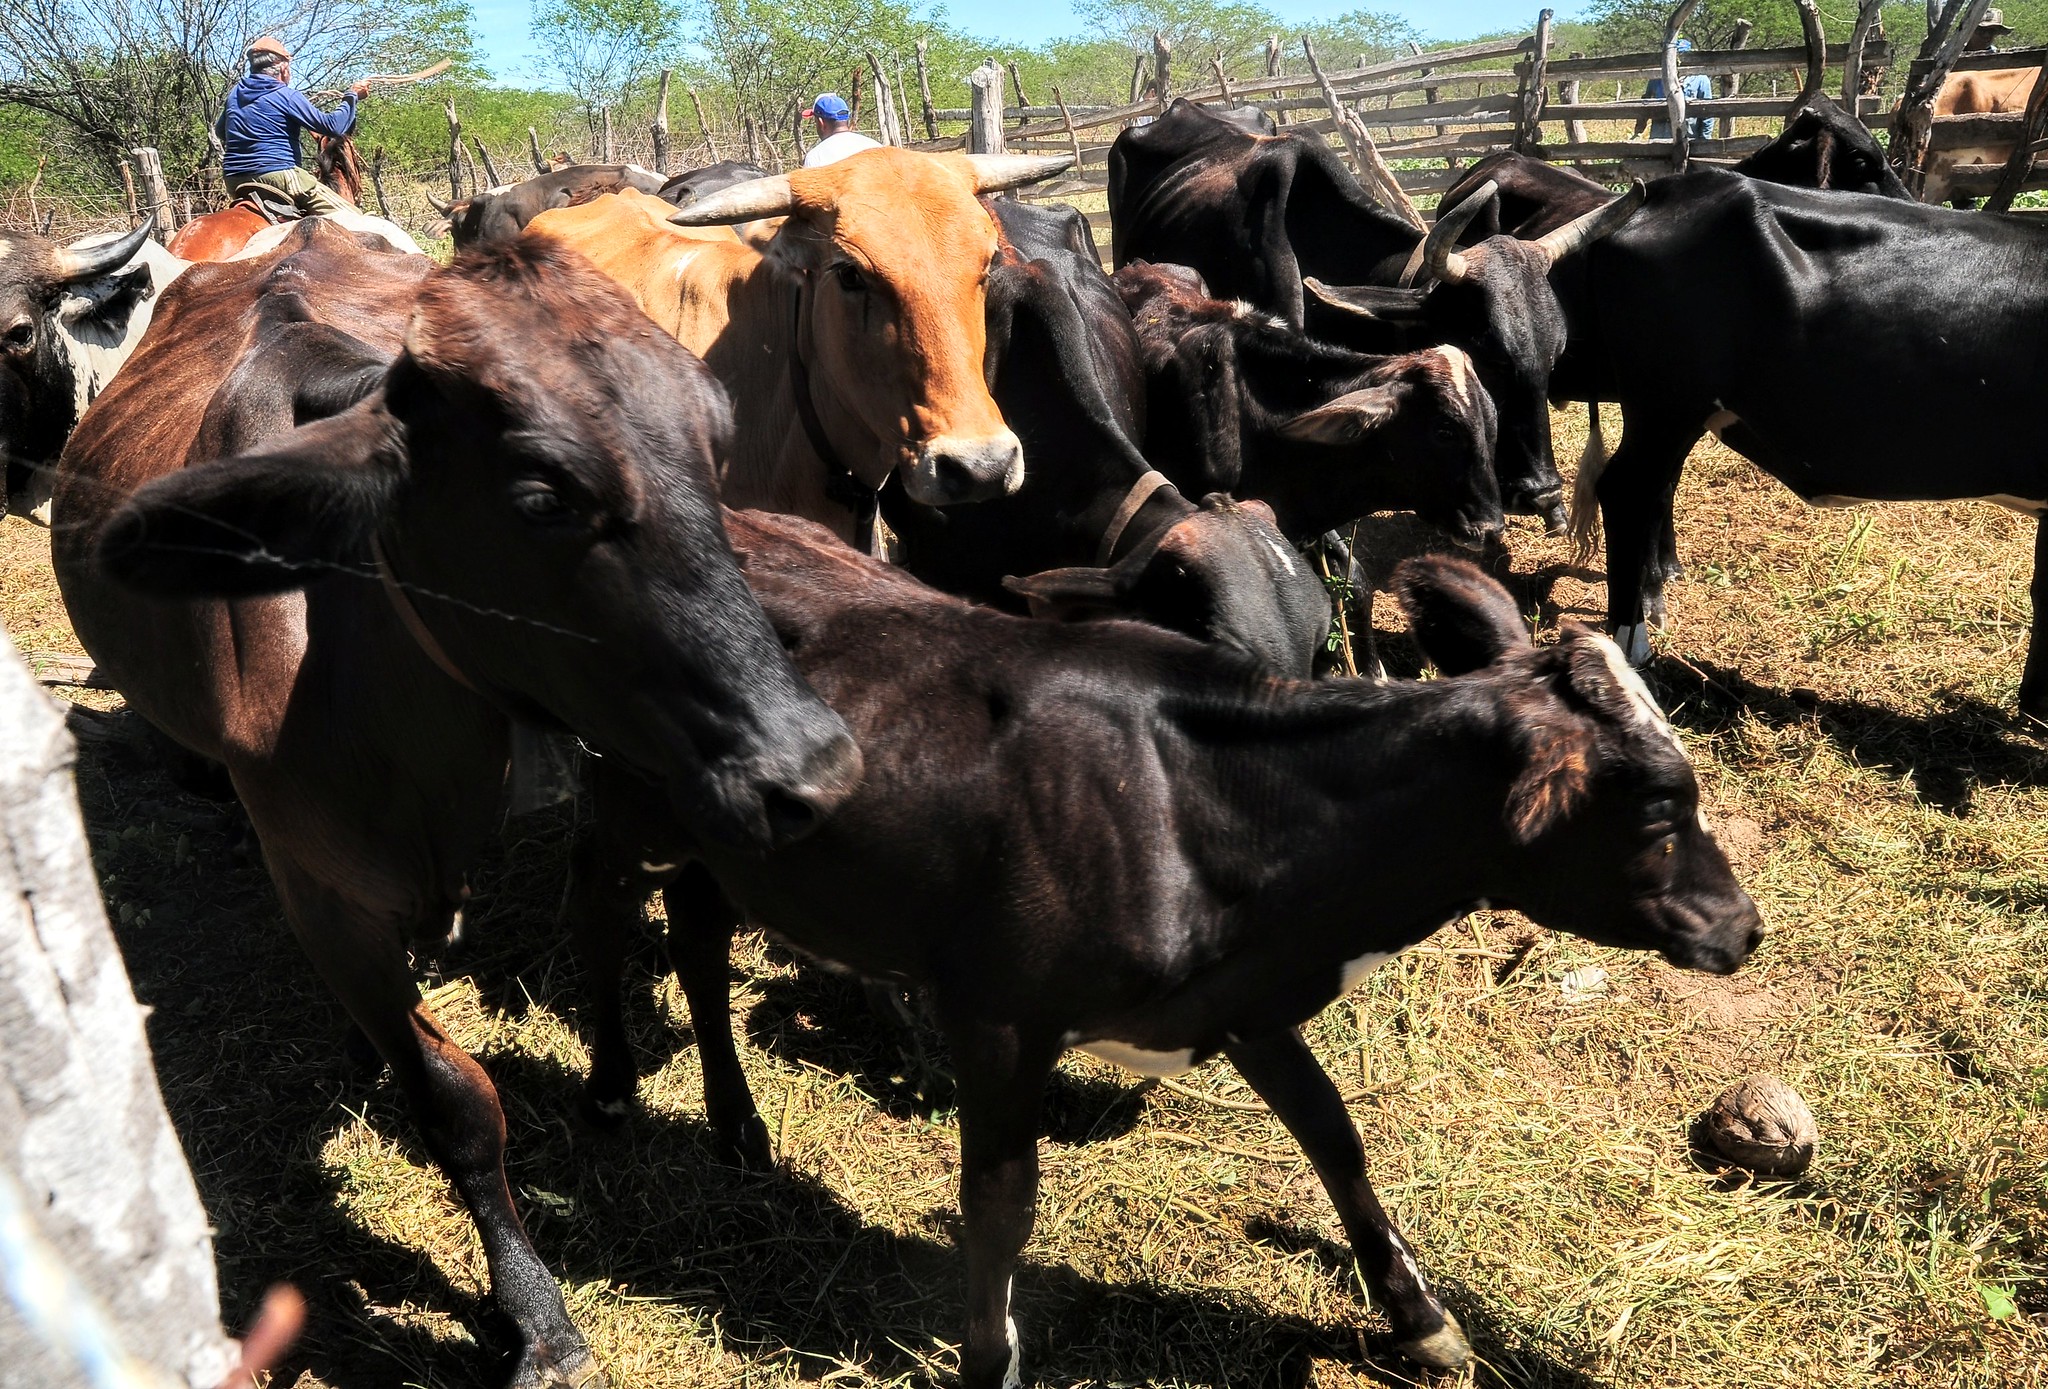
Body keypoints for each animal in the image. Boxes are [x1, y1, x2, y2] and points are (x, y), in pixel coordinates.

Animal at [56, 223, 856, 1384]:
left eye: (716, 447)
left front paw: (729, 1121)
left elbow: (687, 946)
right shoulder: (324, 890)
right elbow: (456, 1103)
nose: (813, 759)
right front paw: (534, 1312)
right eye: (539, 498)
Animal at [569, 524, 1769, 1389]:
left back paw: (737, 1125)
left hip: (724, 847)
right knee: (603, 903)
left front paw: (1419, 1317)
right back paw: (614, 1085)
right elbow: (999, 1200)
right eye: (1657, 809)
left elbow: (1333, 1133)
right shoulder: (996, 1016)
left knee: (697, 934)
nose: (1743, 925)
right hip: (626, 804)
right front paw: (988, 1361)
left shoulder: (1236, 999)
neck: (1199, 807)